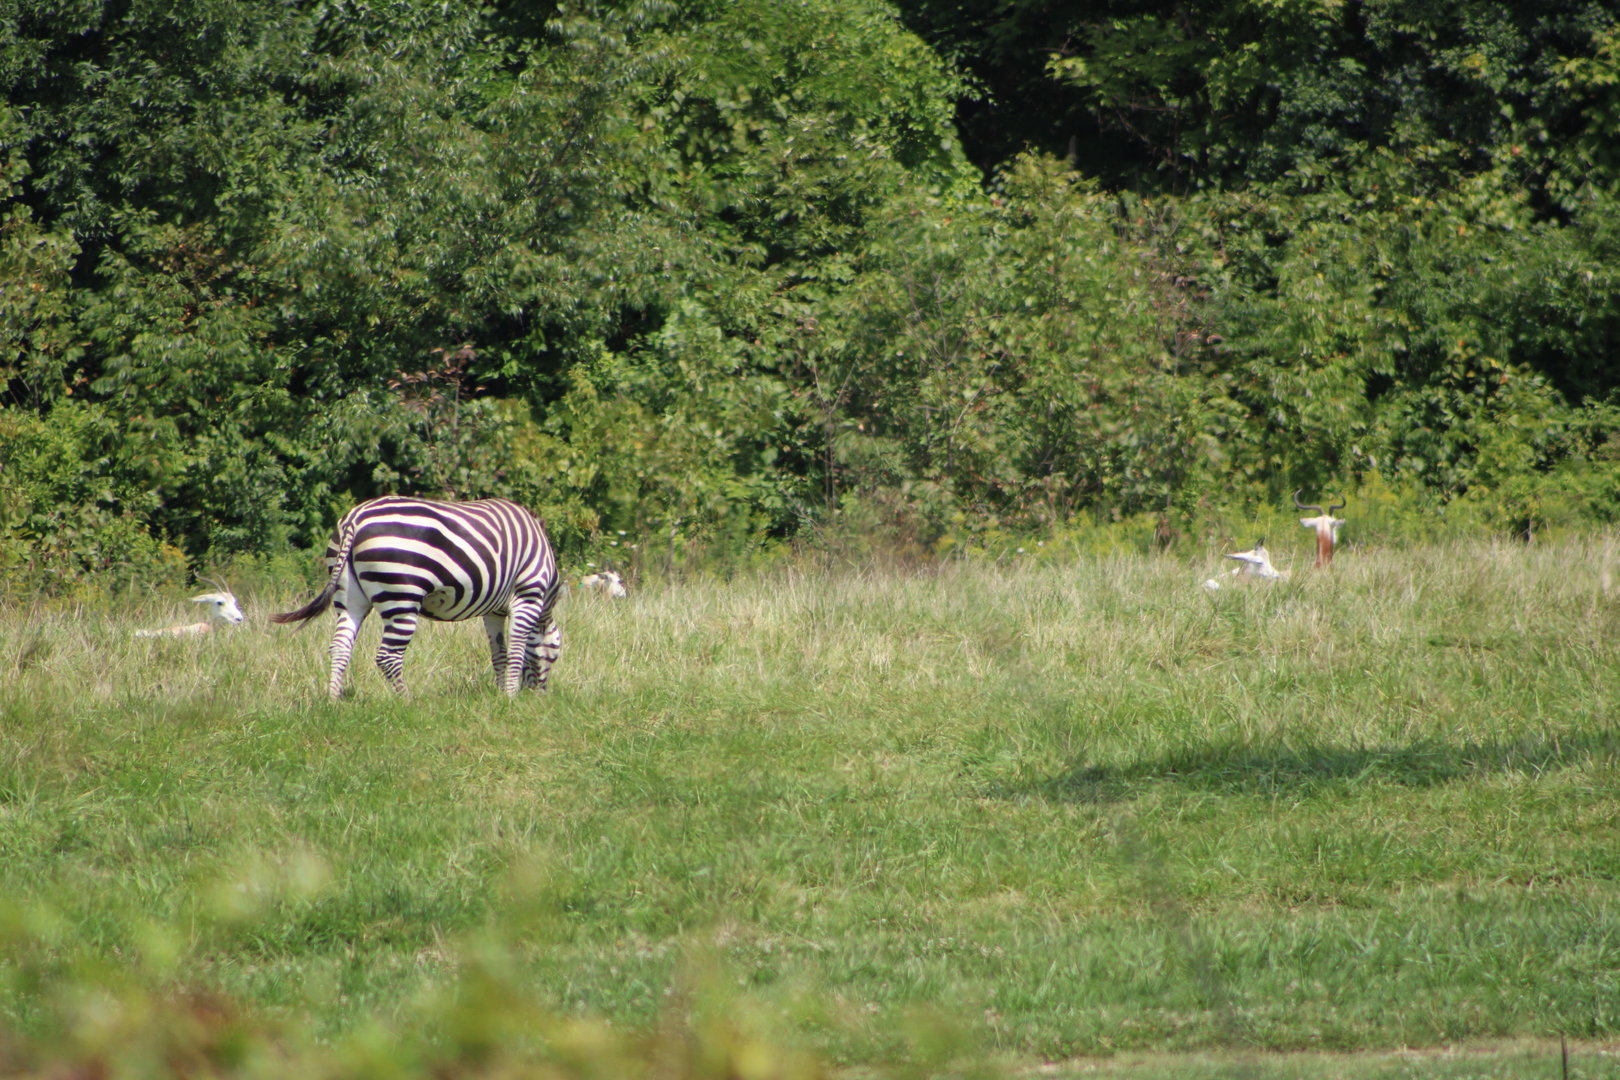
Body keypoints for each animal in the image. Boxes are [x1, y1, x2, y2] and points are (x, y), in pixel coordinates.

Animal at [271, 496, 562, 698]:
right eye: (555, 656)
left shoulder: (494, 611)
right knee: (387, 656)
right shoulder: (527, 594)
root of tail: (356, 516)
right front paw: (510, 695)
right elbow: (517, 648)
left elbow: (499, 652)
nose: (540, 698)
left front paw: (501, 693)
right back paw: (408, 701)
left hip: (349, 596)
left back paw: (333, 700)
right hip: (401, 595)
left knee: (340, 645)